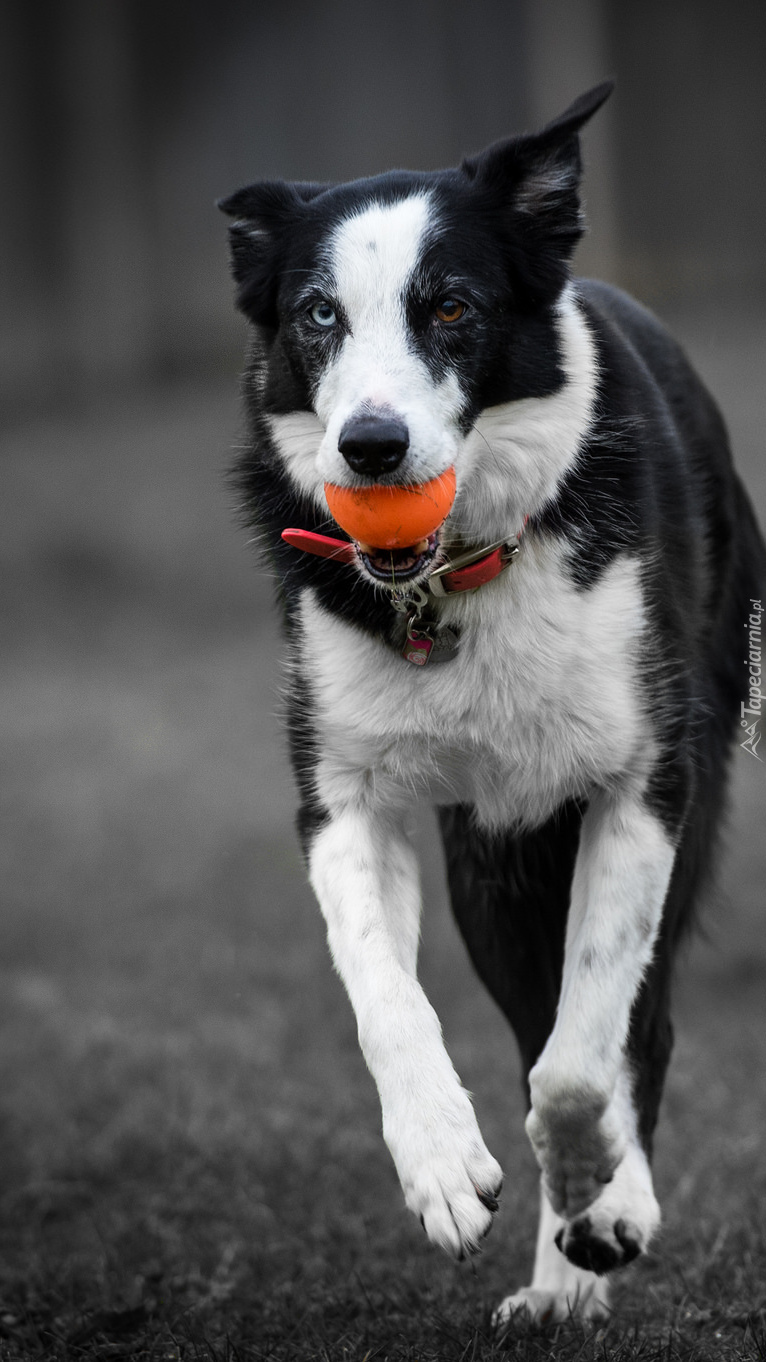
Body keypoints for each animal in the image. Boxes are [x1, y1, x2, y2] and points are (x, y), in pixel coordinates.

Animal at [216, 82, 763, 1318]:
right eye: (317, 316)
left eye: (452, 308)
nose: (371, 448)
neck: (449, 582)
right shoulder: (341, 798)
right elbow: (386, 996)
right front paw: (442, 1169)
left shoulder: (646, 781)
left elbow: (583, 1053)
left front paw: (603, 1195)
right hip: (490, 864)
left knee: (632, 1023)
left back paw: (590, 1240)